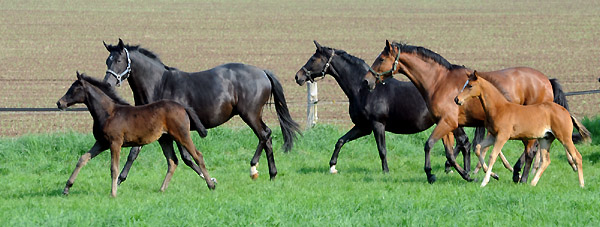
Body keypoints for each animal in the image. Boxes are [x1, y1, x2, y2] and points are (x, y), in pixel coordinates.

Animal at [56, 72, 216, 197]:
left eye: (75, 88)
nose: (59, 103)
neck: (108, 113)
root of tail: (182, 106)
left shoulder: (115, 142)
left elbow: (114, 168)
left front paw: (113, 193)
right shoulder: (102, 142)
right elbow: (82, 159)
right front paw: (66, 188)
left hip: (182, 135)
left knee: (197, 155)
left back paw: (211, 185)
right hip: (165, 139)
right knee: (172, 161)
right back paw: (162, 189)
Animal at [103, 38, 302, 181]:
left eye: (119, 60)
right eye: (107, 61)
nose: (107, 83)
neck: (160, 84)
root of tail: (262, 72)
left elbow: (185, 157)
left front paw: (209, 179)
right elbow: (135, 153)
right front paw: (119, 180)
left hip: (250, 114)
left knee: (264, 135)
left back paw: (254, 168)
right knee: (267, 137)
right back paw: (272, 174)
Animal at [294, 41, 474, 183]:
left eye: (314, 59)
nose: (298, 76)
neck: (363, 91)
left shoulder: (377, 124)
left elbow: (382, 149)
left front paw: (386, 171)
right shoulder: (363, 127)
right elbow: (341, 141)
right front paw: (333, 166)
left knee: (463, 142)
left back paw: (460, 171)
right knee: (462, 144)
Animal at [360, 40, 572, 184]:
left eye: (381, 58)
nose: (366, 80)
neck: (439, 81)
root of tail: (546, 80)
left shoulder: (448, 123)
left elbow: (430, 145)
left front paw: (430, 173)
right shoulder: (448, 124)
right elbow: (452, 152)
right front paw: (467, 175)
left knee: (531, 150)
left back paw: (521, 176)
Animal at [454, 72, 592, 187]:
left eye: (470, 86)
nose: (457, 99)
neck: (499, 108)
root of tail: (566, 112)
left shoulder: (502, 136)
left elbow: (493, 155)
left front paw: (485, 181)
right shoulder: (493, 136)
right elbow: (478, 148)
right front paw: (493, 175)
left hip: (564, 137)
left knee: (577, 157)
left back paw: (581, 184)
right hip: (545, 139)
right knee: (546, 160)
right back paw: (532, 183)